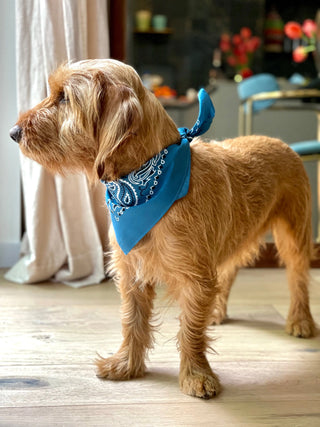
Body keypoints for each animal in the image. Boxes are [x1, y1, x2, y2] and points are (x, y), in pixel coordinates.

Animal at [10, 58, 318, 400]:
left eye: (64, 97)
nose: (14, 132)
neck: (145, 181)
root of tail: (280, 142)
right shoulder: (131, 270)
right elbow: (132, 322)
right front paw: (126, 365)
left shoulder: (196, 277)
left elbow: (191, 330)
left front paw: (196, 374)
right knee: (228, 273)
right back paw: (217, 311)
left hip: (293, 235)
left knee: (298, 277)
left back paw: (300, 319)